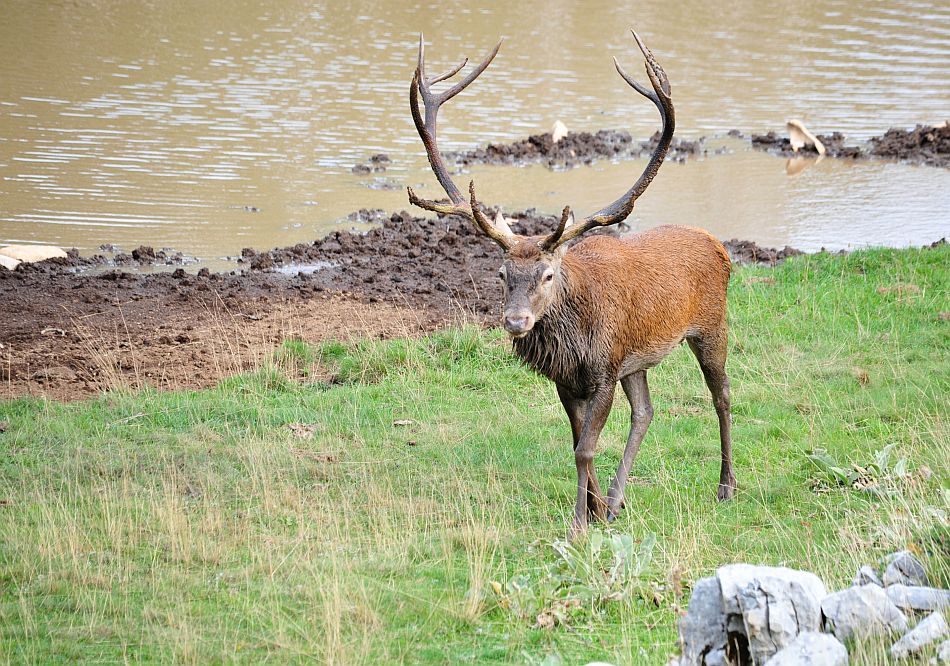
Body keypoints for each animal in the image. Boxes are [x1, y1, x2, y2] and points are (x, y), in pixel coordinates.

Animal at [406, 32, 740, 540]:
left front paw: (580, 523)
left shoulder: (604, 368)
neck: (575, 334)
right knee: (646, 411)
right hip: (635, 359)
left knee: (721, 395)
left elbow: (584, 447)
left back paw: (725, 486)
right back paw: (620, 500)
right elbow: (578, 440)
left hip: (709, 325)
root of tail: (719, 246)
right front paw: (599, 509)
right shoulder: (570, 378)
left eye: (547, 274)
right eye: (501, 274)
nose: (516, 320)